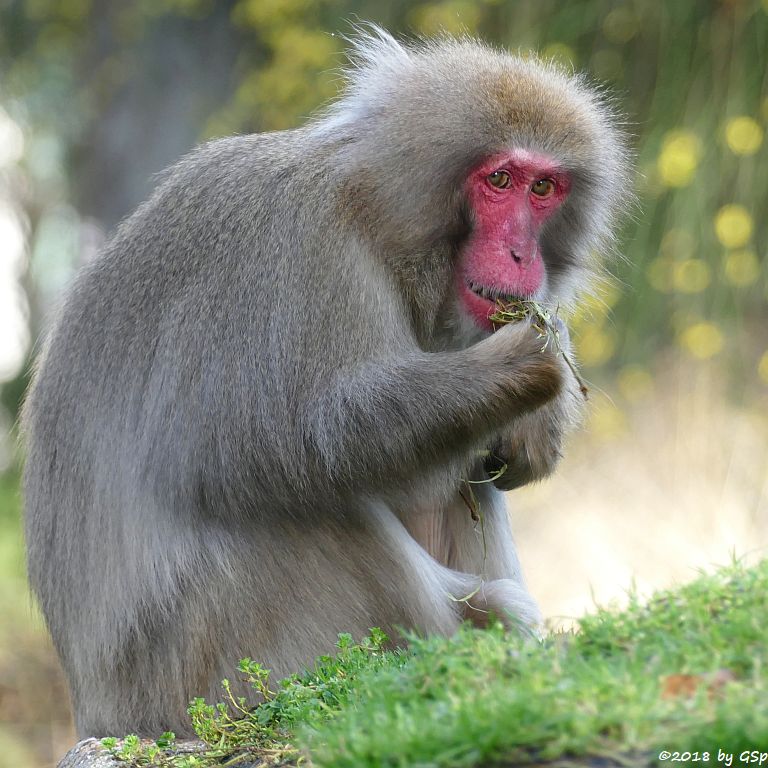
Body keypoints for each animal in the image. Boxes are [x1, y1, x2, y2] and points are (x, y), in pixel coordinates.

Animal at [21, 30, 632, 736]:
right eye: (500, 179)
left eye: (544, 188)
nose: (520, 255)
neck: (376, 220)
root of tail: (105, 714)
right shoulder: (293, 254)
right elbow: (285, 440)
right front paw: (523, 361)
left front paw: (538, 418)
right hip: (213, 668)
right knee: (305, 497)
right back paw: (464, 630)